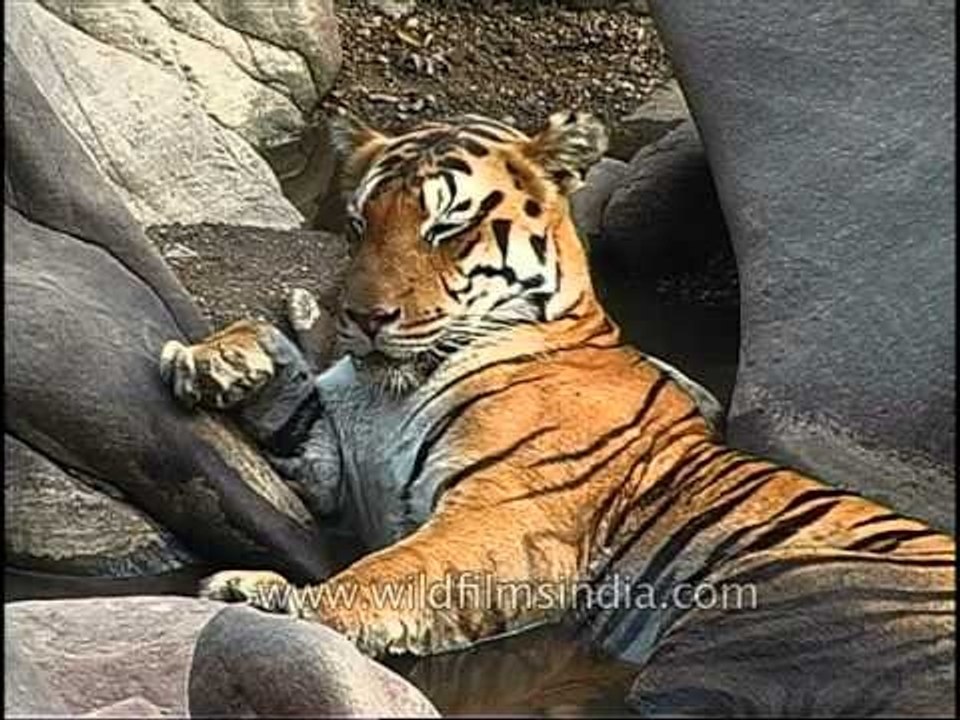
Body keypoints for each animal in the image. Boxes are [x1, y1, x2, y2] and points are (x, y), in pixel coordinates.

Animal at [160, 110, 955, 716]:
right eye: (357, 228)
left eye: (444, 229)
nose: (362, 317)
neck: (395, 385)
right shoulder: (349, 481)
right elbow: (298, 412)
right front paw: (221, 358)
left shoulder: (507, 519)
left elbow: (388, 572)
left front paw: (272, 597)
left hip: (762, 617)